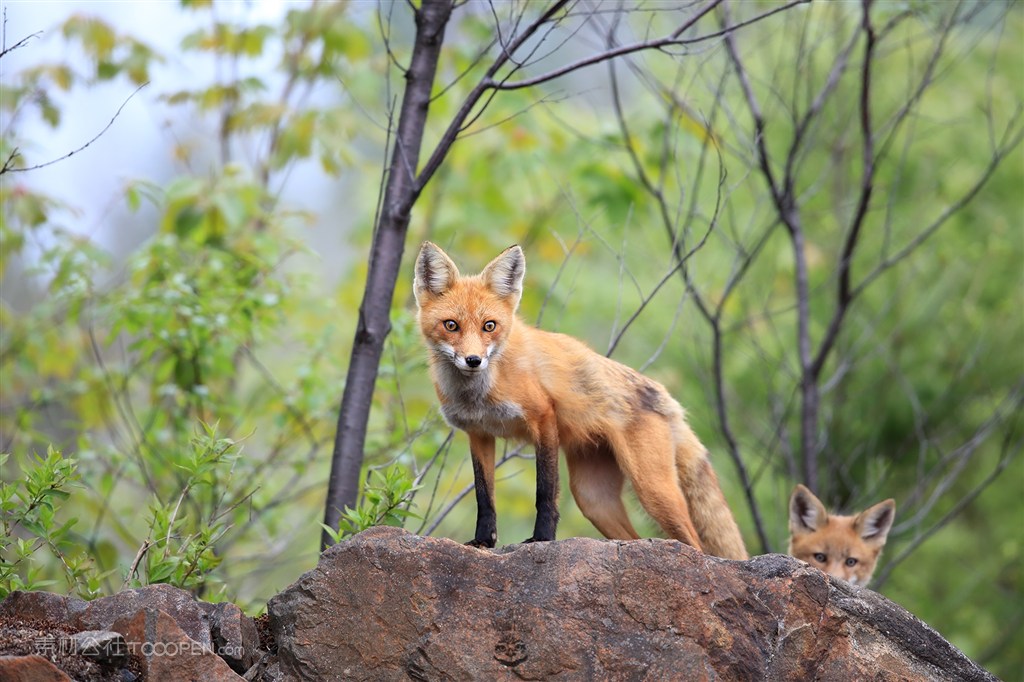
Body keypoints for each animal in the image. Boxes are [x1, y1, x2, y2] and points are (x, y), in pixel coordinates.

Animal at [411, 240, 749, 557]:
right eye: (451, 325)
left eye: (489, 326)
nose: (473, 360)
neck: (479, 393)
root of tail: (666, 397)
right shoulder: (479, 434)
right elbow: (484, 497)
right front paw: (483, 541)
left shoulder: (543, 418)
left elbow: (545, 491)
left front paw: (542, 539)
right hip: (593, 498)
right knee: (633, 538)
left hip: (652, 489)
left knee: (696, 545)